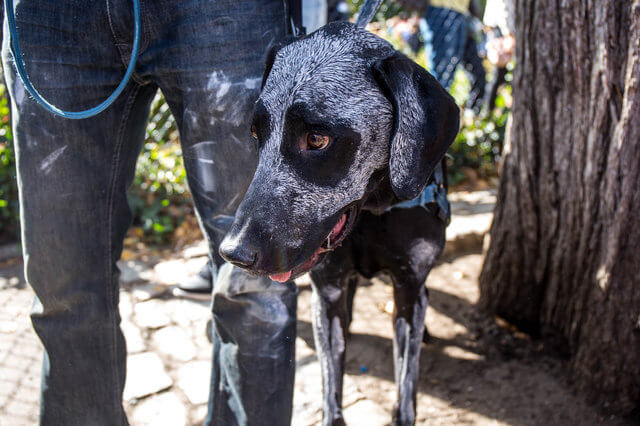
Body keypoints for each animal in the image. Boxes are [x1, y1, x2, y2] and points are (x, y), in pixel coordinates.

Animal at [220, 20, 460, 426]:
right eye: (257, 134)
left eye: (317, 138)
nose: (234, 252)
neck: (373, 213)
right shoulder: (328, 294)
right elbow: (331, 393)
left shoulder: (408, 289)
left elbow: (406, 389)